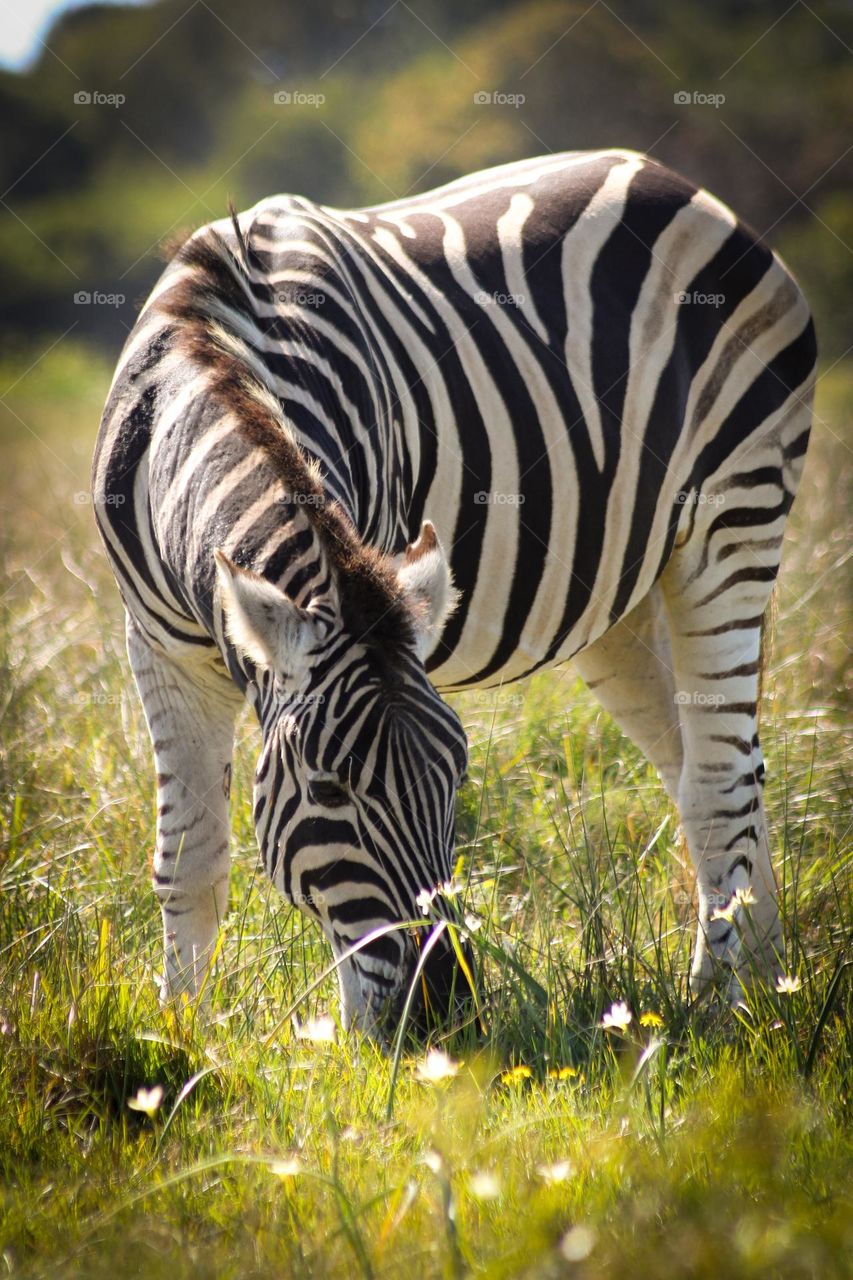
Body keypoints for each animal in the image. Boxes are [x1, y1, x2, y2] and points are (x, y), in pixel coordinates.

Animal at [91, 147, 809, 1029]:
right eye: (328, 787)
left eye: (456, 777)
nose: (438, 1011)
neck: (212, 357)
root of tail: (675, 181)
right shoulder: (157, 646)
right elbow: (189, 861)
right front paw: (178, 1035)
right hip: (622, 604)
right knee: (717, 766)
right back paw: (770, 981)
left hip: (737, 516)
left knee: (720, 782)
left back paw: (721, 1005)